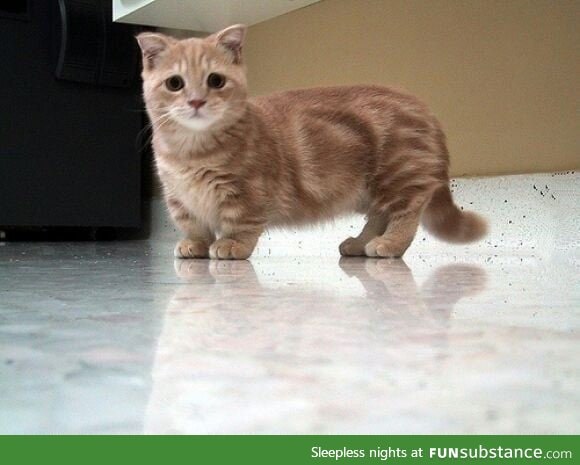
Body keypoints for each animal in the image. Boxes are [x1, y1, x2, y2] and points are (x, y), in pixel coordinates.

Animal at [138, 25, 488, 260]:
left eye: (215, 80)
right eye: (175, 83)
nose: (196, 101)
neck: (190, 152)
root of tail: (421, 105)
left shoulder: (247, 193)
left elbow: (241, 223)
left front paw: (232, 244)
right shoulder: (179, 198)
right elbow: (194, 225)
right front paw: (196, 245)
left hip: (398, 175)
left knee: (407, 212)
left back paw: (389, 244)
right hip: (372, 190)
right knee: (379, 216)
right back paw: (359, 243)